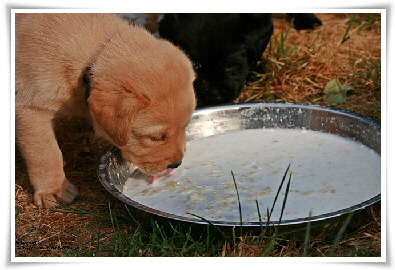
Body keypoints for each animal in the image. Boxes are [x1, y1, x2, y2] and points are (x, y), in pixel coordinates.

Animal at [16, 13, 197, 209]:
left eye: (186, 126)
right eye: (155, 137)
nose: (177, 164)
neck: (91, 60)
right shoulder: (32, 108)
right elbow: (45, 154)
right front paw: (53, 190)